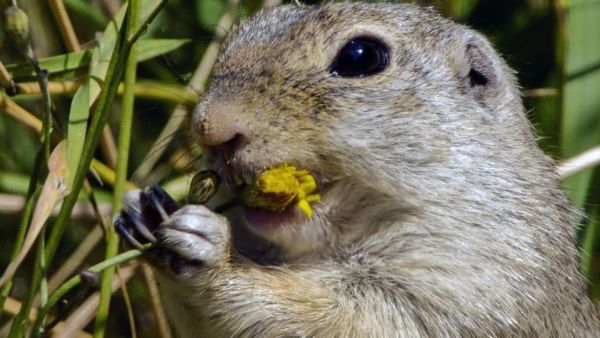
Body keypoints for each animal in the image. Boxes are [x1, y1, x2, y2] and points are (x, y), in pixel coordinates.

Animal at [117, 1, 600, 336]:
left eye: (361, 56)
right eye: (238, 35)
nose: (210, 127)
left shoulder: (480, 281)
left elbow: (343, 319)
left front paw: (214, 251)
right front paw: (142, 208)